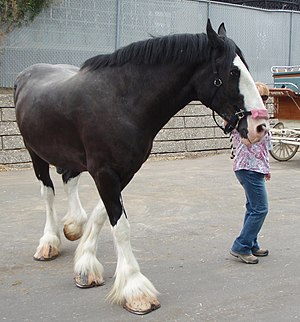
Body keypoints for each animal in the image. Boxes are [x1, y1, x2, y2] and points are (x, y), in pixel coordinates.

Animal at [14, 20, 268, 314]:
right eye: (232, 71)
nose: (260, 127)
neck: (122, 101)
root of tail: (27, 74)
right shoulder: (105, 172)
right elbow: (121, 226)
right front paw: (135, 290)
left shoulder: (124, 171)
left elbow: (101, 214)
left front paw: (85, 265)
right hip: (35, 153)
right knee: (47, 193)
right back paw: (49, 242)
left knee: (69, 179)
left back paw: (73, 225)